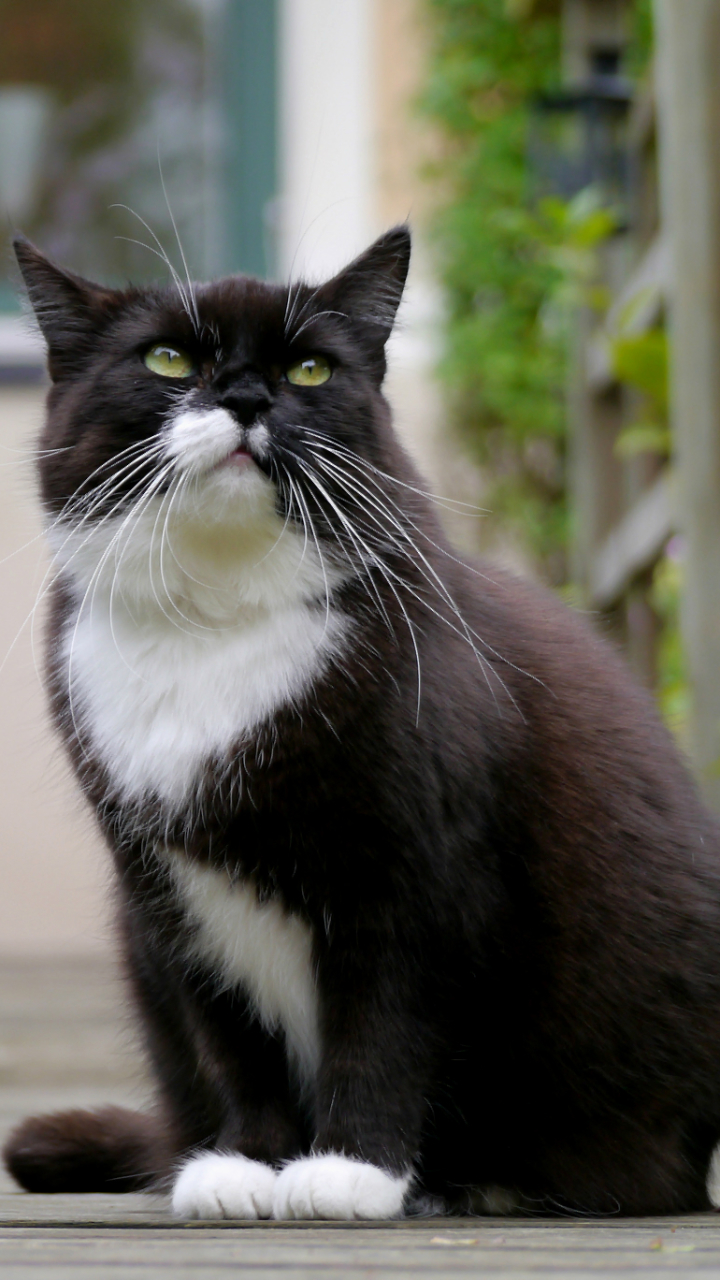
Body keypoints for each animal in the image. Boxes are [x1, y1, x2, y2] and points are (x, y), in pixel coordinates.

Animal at [4, 227, 717, 1218]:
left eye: (309, 367)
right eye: (167, 358)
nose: (247, 396)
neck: (217, 621)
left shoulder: (418, 866)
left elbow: (383, 1021)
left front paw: (351, 1171)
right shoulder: (166, 889)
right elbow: (230, 1035)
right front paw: (245, 1166)